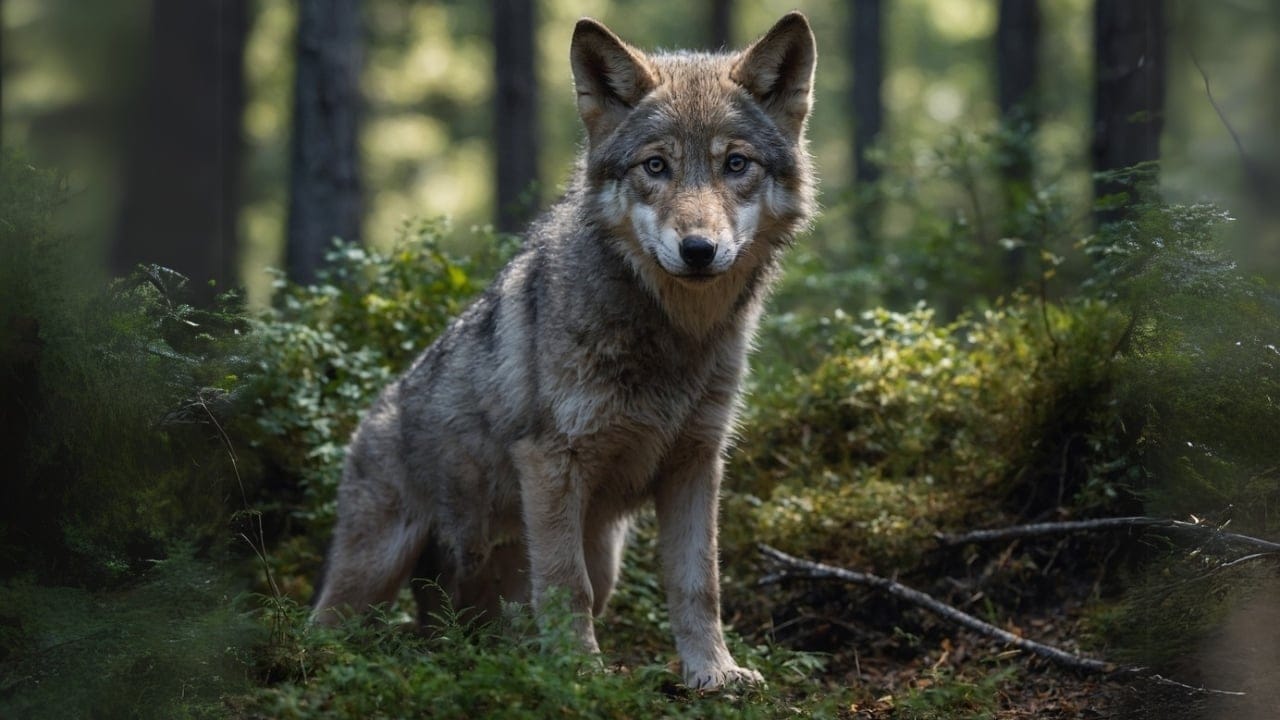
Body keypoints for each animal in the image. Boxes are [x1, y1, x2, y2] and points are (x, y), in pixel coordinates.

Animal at [311, 12, 817, 689]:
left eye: (736, 163)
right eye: (655, 167)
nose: (698, 249)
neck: (672, 338)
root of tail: (371, 413)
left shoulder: (696, 465)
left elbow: (698, 585)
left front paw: (713, 674)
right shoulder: (550, 462)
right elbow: (564, 583)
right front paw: (578, 677)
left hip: (601, 556)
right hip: (374, 569)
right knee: (326, 625)